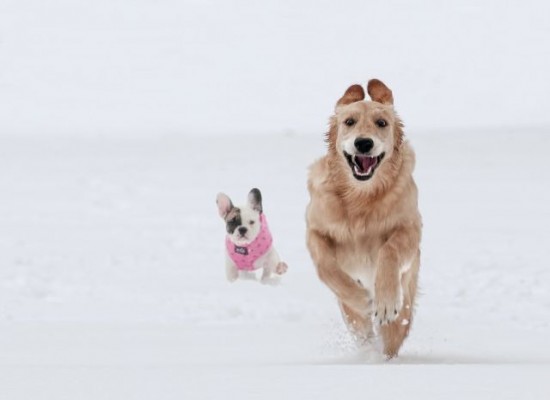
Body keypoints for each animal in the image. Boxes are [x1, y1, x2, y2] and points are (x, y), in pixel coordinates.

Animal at [306, 79, 422, 358]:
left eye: (381, 123)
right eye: (349, 121)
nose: (364, 143)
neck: (360, 197)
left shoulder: (410, 227)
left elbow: (389, 250)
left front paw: (385, 302)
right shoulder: (314, 228)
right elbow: (325, 266)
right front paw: (360, 298)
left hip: (405, 302)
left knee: (392, 336)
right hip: (351, 319)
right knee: (362, 330)